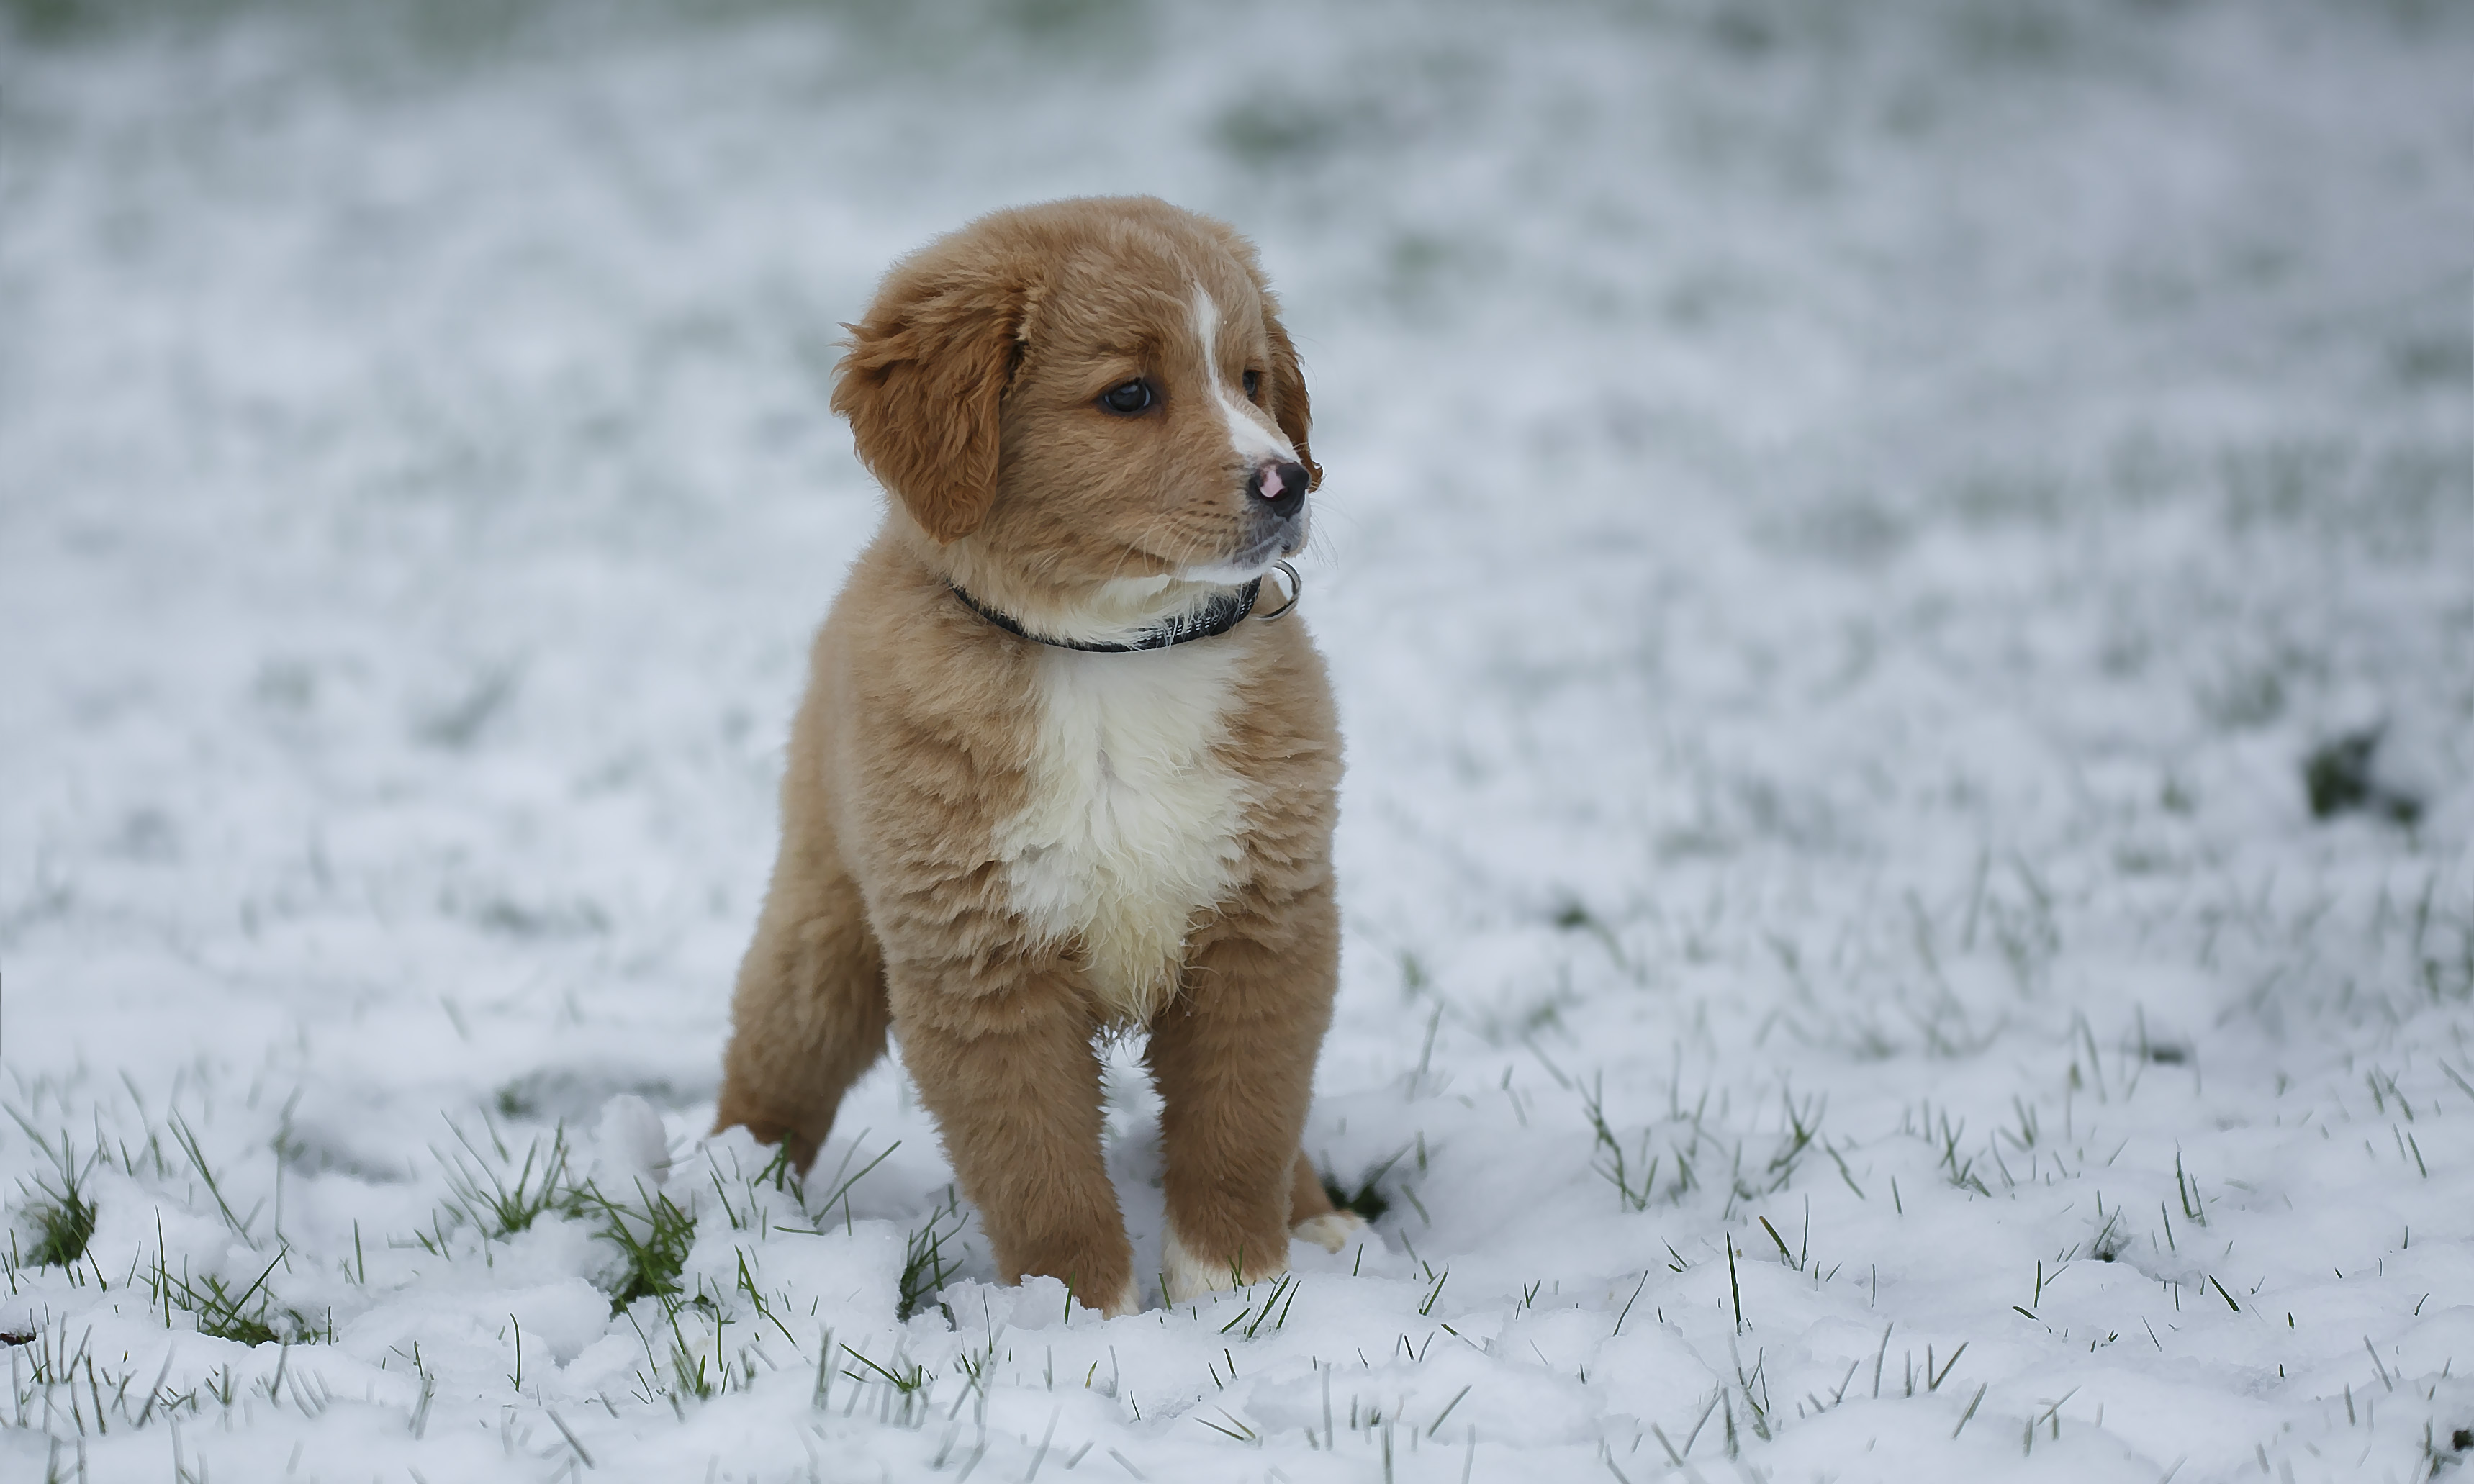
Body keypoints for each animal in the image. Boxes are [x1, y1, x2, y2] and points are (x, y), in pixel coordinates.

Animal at [717, 194, 1365, 1306]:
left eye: (1250, 379)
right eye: (1130, 395)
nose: (1286, 481)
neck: (1112, 657)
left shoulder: (1265, 925)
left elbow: (1242, 1124)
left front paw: (1236, 1289)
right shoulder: (979, 964)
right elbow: (1041, 1172)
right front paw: (1082, 1319)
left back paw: (1319, 1216)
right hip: (824, 920)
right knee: (773, 1061)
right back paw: (720, 1199)